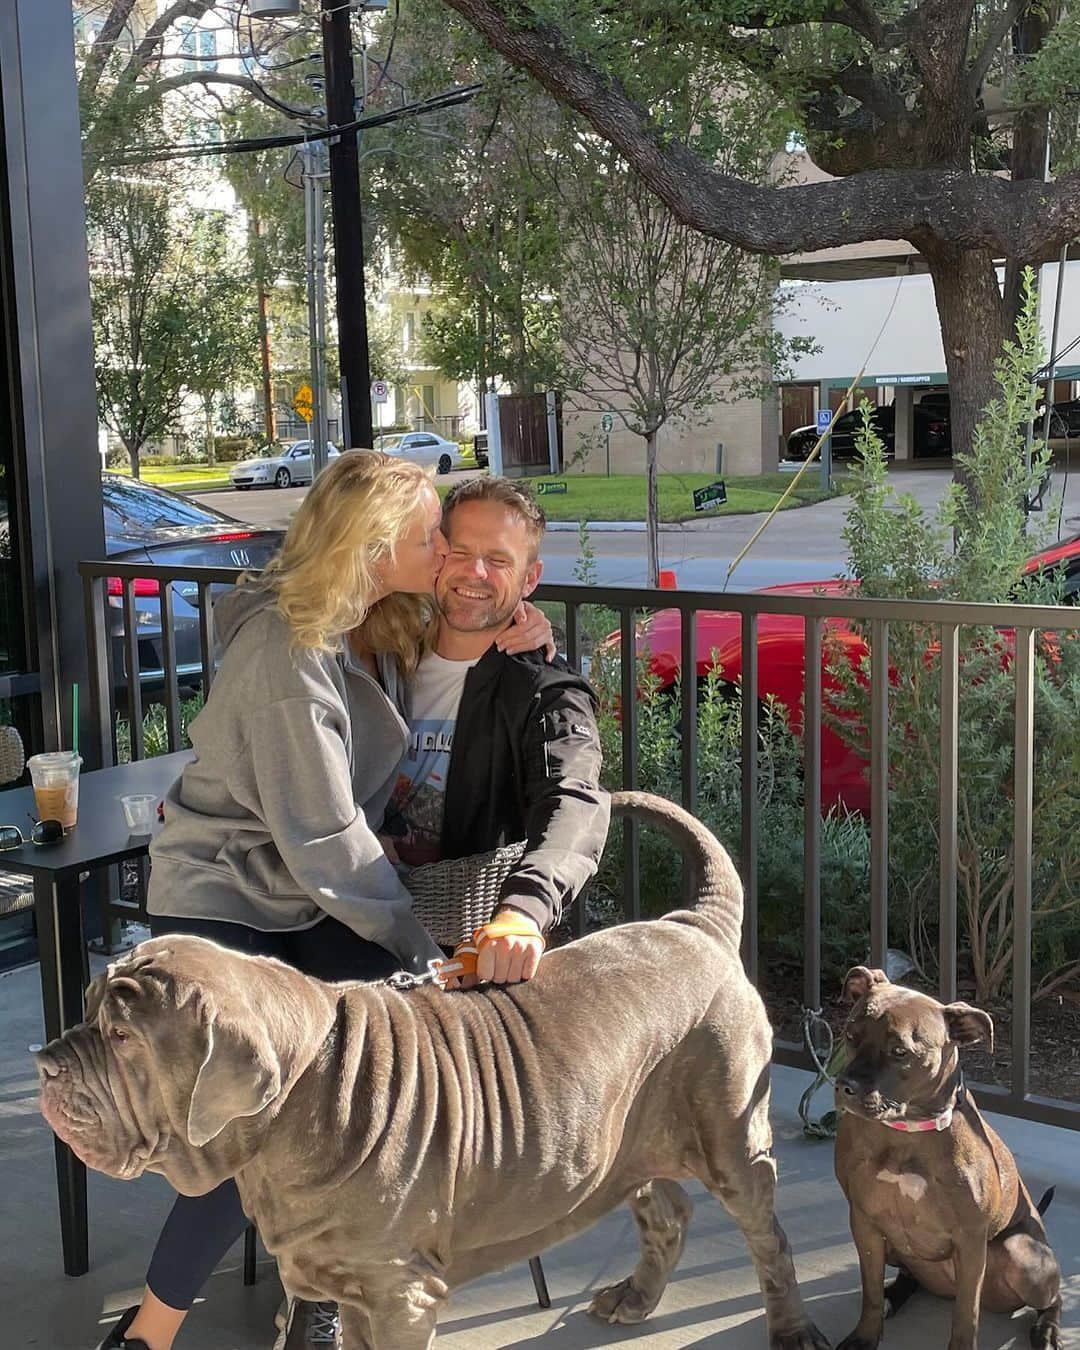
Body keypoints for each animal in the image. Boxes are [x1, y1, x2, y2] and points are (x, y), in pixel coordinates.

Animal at [35, 788, 826, 1350]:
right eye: (88, 1009)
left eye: (122, 1035)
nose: (44, 1063)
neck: (305, 1096)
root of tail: (695, 924)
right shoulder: (343, 1284)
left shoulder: (400, 1294)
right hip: (628, 1138)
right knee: (665, 1209)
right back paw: (634, 1297)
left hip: (732, 1134)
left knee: (769, 1234)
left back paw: (792, 1330)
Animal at [831, 966, 1058, 1350]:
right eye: (850, 1034)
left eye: (900, 1051)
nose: (845, 1086)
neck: (904, 1133)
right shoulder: (863, 1222)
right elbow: (870, 1291)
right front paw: (865, 1336)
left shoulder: (970, 1240)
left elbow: (966, 1315)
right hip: (895, 1245)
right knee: (909, 1276)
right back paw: (895, 1297)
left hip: (1026, 1259)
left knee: (1051, 1299)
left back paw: (1047, 1332)